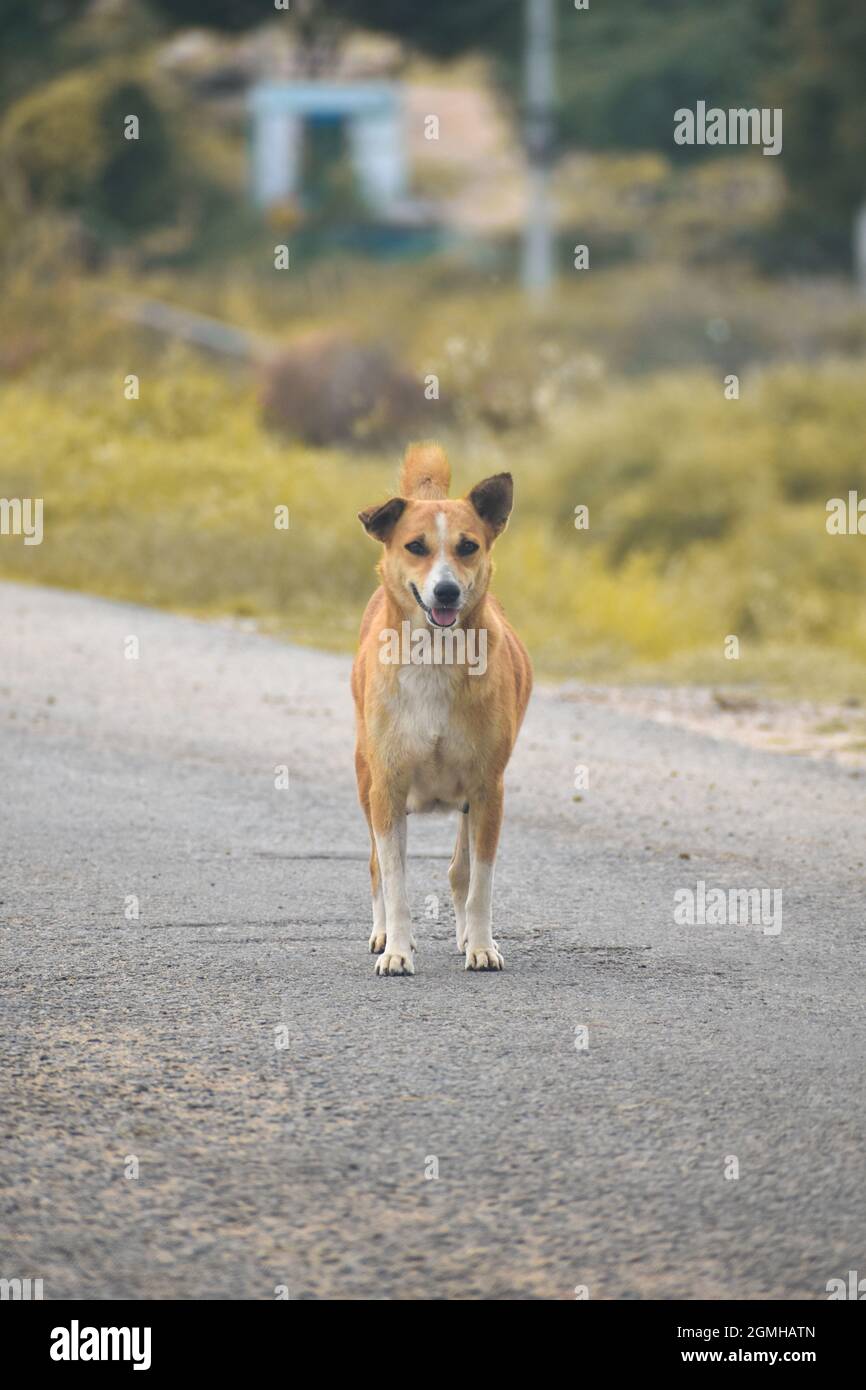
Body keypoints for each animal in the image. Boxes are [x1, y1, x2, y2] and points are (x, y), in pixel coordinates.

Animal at [350, 439, 528, 973]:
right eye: (416, 546)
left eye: (468, 546)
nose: (446, 590)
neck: (434, 654)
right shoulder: (387, 788)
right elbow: (395, 880)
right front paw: (397, 951)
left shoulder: (489, 790)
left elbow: (479, 882)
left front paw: (481, 945)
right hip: (365, 780)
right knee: (376, 867)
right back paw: (383, 934)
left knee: (459, 872)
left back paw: (466, 935)